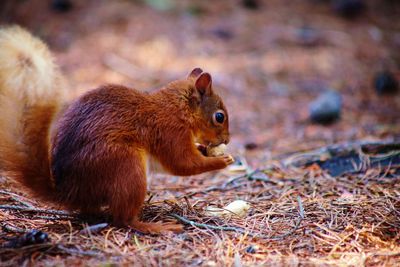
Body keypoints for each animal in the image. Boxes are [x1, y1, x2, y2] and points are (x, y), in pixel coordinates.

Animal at [0, 25, 233, 234]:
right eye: (219, 117)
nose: (228, 141)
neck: (177, 109)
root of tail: (69, 191)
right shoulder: (170, 132)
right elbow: (183, 164)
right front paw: (221, 160)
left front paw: (204, 149)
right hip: (126, 166)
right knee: (123, 219)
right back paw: (155, 227)